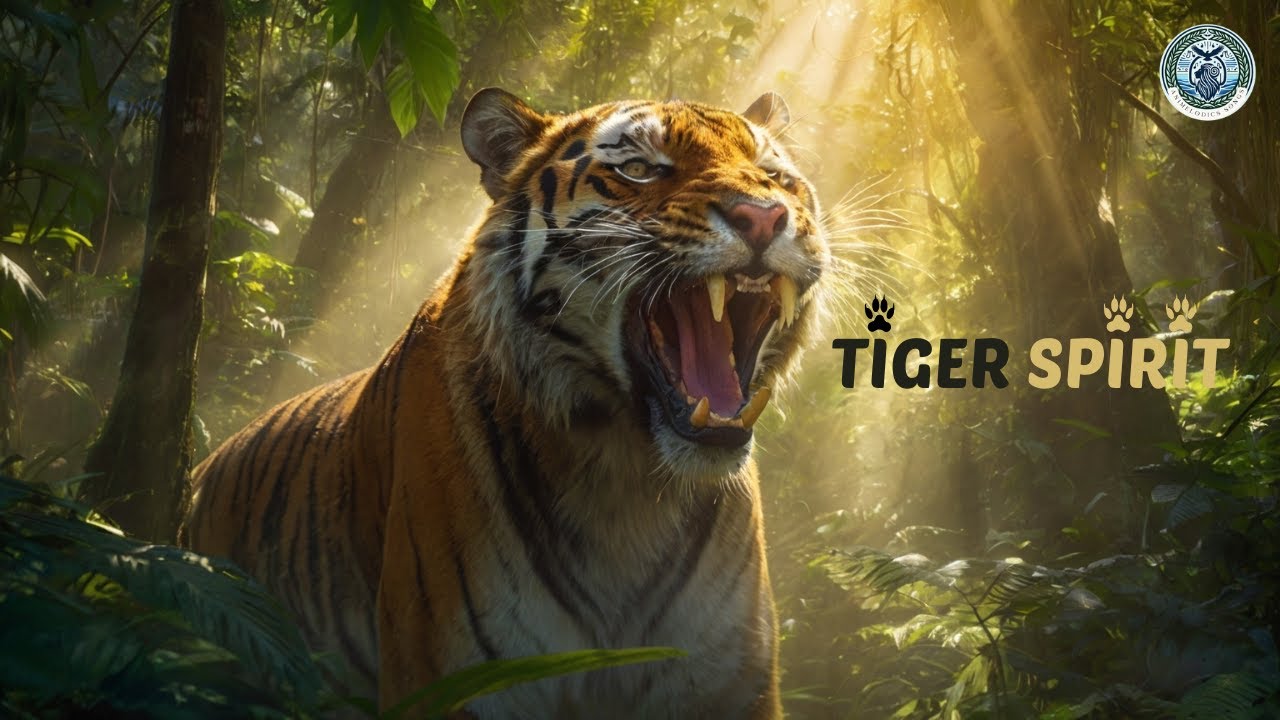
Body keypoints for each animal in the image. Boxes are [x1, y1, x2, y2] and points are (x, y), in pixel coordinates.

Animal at [183, 87, 829, 719]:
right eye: (640, 169)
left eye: (775, 176)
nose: (763, 216)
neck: (629, 480)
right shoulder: (450, 680)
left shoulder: (730, 681)